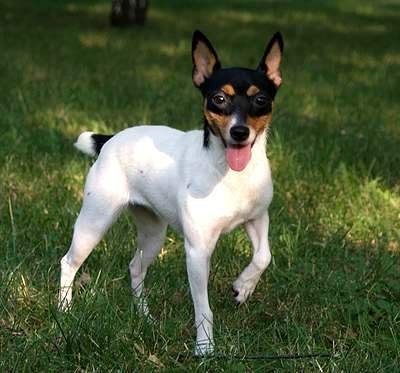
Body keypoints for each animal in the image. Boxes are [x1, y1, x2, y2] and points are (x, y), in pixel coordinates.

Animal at [59, 29, 284, 354]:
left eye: (261, 99)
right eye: (219, 99)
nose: (239, 132)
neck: (228, 173)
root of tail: (111, 138)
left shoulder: (257, 218)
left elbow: (263, 256)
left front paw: (243, 287)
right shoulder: (198, 251)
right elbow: (203, 307)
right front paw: (205, 348)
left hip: (153, 234)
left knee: (136, 268)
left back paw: (145, 317)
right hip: (94, 221)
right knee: (69, 262)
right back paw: (63, 310)